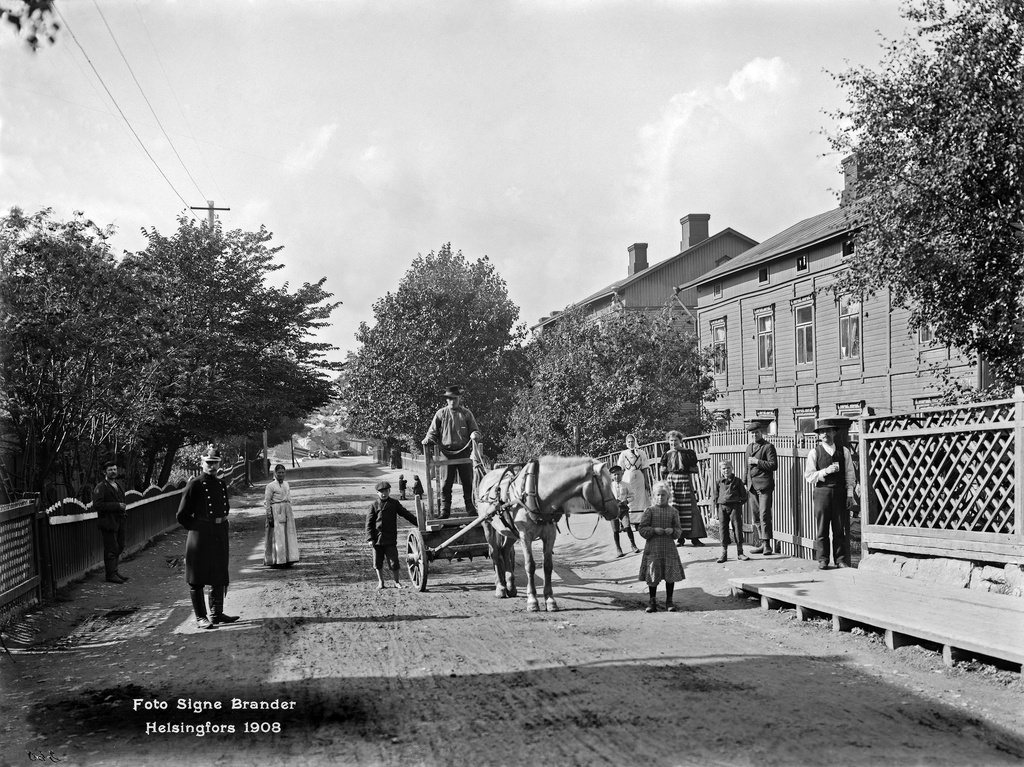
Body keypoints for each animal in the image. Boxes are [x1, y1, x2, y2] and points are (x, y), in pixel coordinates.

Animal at [477, 454, 618, 610]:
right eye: (604, 484)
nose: (617, 509)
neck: (536, 492)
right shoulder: (525, 536)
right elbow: (530, 566)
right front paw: (532, 600)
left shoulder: (550, 535)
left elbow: (548, 566)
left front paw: (550, 600)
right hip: (487, 525)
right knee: (495, 553)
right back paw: (501, 588)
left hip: (509, 531)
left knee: (505, 550)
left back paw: (511, 587)